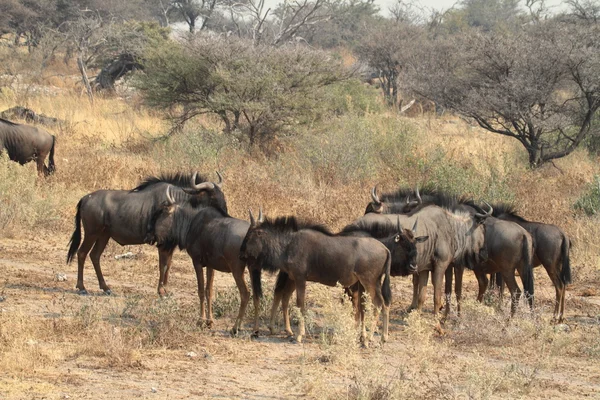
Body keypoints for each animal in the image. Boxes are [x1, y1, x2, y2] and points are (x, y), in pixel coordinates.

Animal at [146, 187, 258, 334]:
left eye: (161, 213)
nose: (150, 236)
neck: (191, 222)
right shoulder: (211, 265)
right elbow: (208, 291)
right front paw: (210, 321)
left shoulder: (197, 262)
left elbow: (200, 290)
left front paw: (200, 321)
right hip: (253, 269)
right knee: (256, 294)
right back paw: (255, 330)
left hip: (237, 269)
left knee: (245, 294)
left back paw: (235, 328)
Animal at [240, 211, 394, 346]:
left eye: (250, 235)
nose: (242, 253)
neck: (289, 243)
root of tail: (385, 249)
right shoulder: (294, 278)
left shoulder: (300, 278)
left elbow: (300, 305)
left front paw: (299, 335)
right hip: (374, 283)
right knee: (384, 304)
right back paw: (383, 338)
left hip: (369, 282)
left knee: (377, 304)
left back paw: (367, 340)